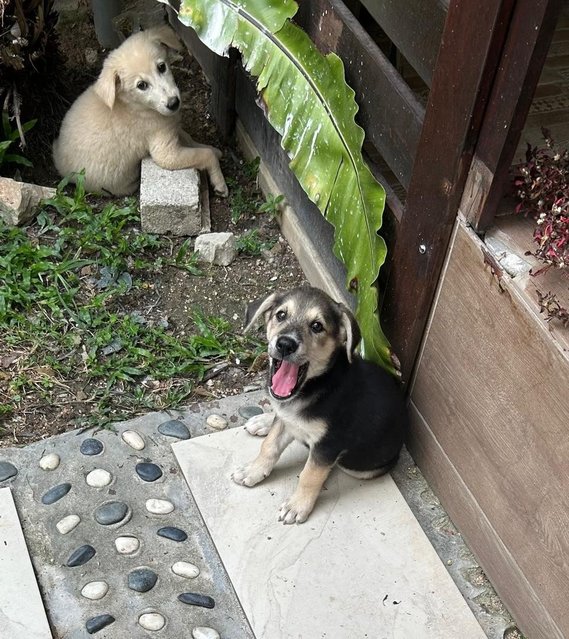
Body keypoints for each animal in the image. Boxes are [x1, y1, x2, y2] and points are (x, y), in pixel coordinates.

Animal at [52, 26, 227, 198]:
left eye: (162, 67)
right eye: (141, 85)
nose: (173, 103)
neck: (136, 105)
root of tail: (57, 159)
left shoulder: (172, 127)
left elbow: (190, 139)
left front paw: (213, 149)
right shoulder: (165, 151)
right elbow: (204, 154)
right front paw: (219, 183)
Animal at [231, 286, 408, 524]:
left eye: (317, 326)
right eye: (281, 315)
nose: (285, 344)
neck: (317, 386)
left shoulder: (329, 444)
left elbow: (310, 475)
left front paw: (297, 505)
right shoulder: (285, 419)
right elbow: (269, 446)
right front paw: (253, 470)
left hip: (361, 468)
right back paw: (262, 421)